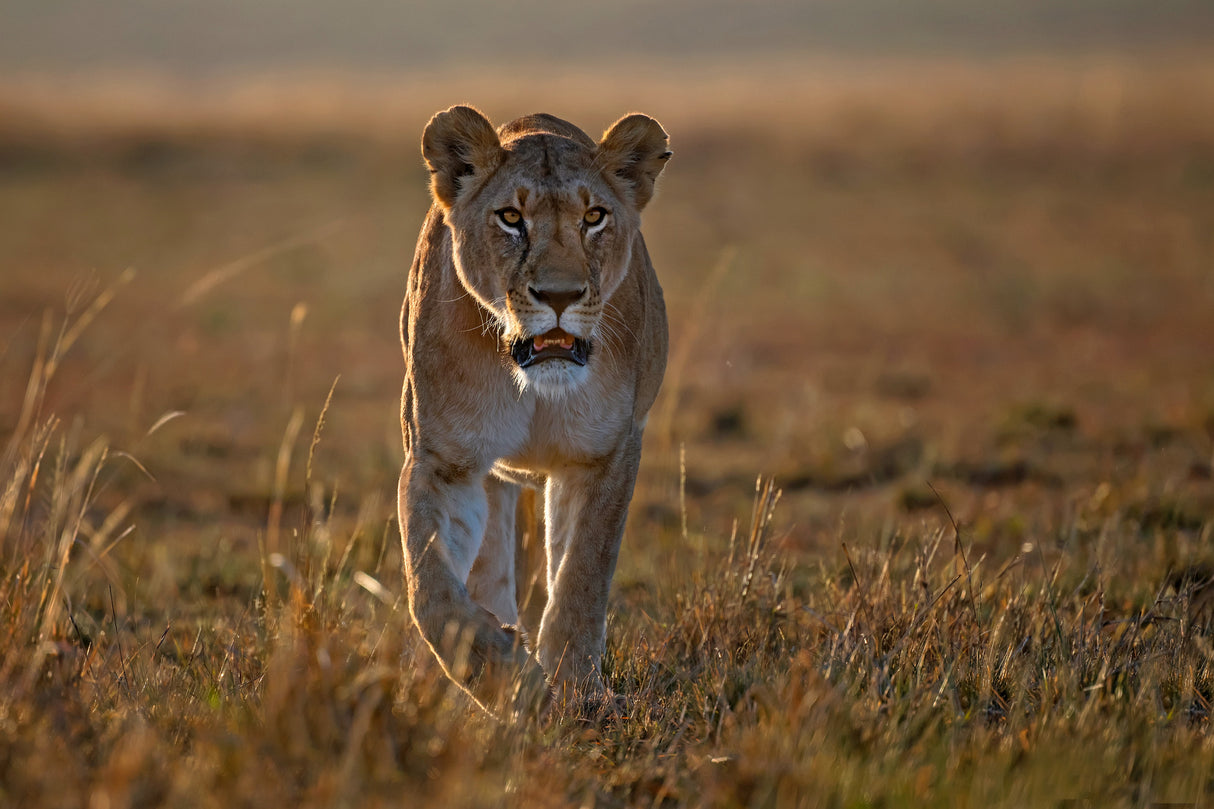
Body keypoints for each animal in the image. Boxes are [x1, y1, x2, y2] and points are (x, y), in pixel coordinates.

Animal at [398, 105, 671, 714]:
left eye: (594, 217)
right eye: (510, 218)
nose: (561, 296)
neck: (536, 386)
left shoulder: (604, 456)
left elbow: (581, 578)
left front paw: (574, 692)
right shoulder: (443, 461)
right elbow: (430, 586)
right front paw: (505, 677)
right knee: (489, 568)